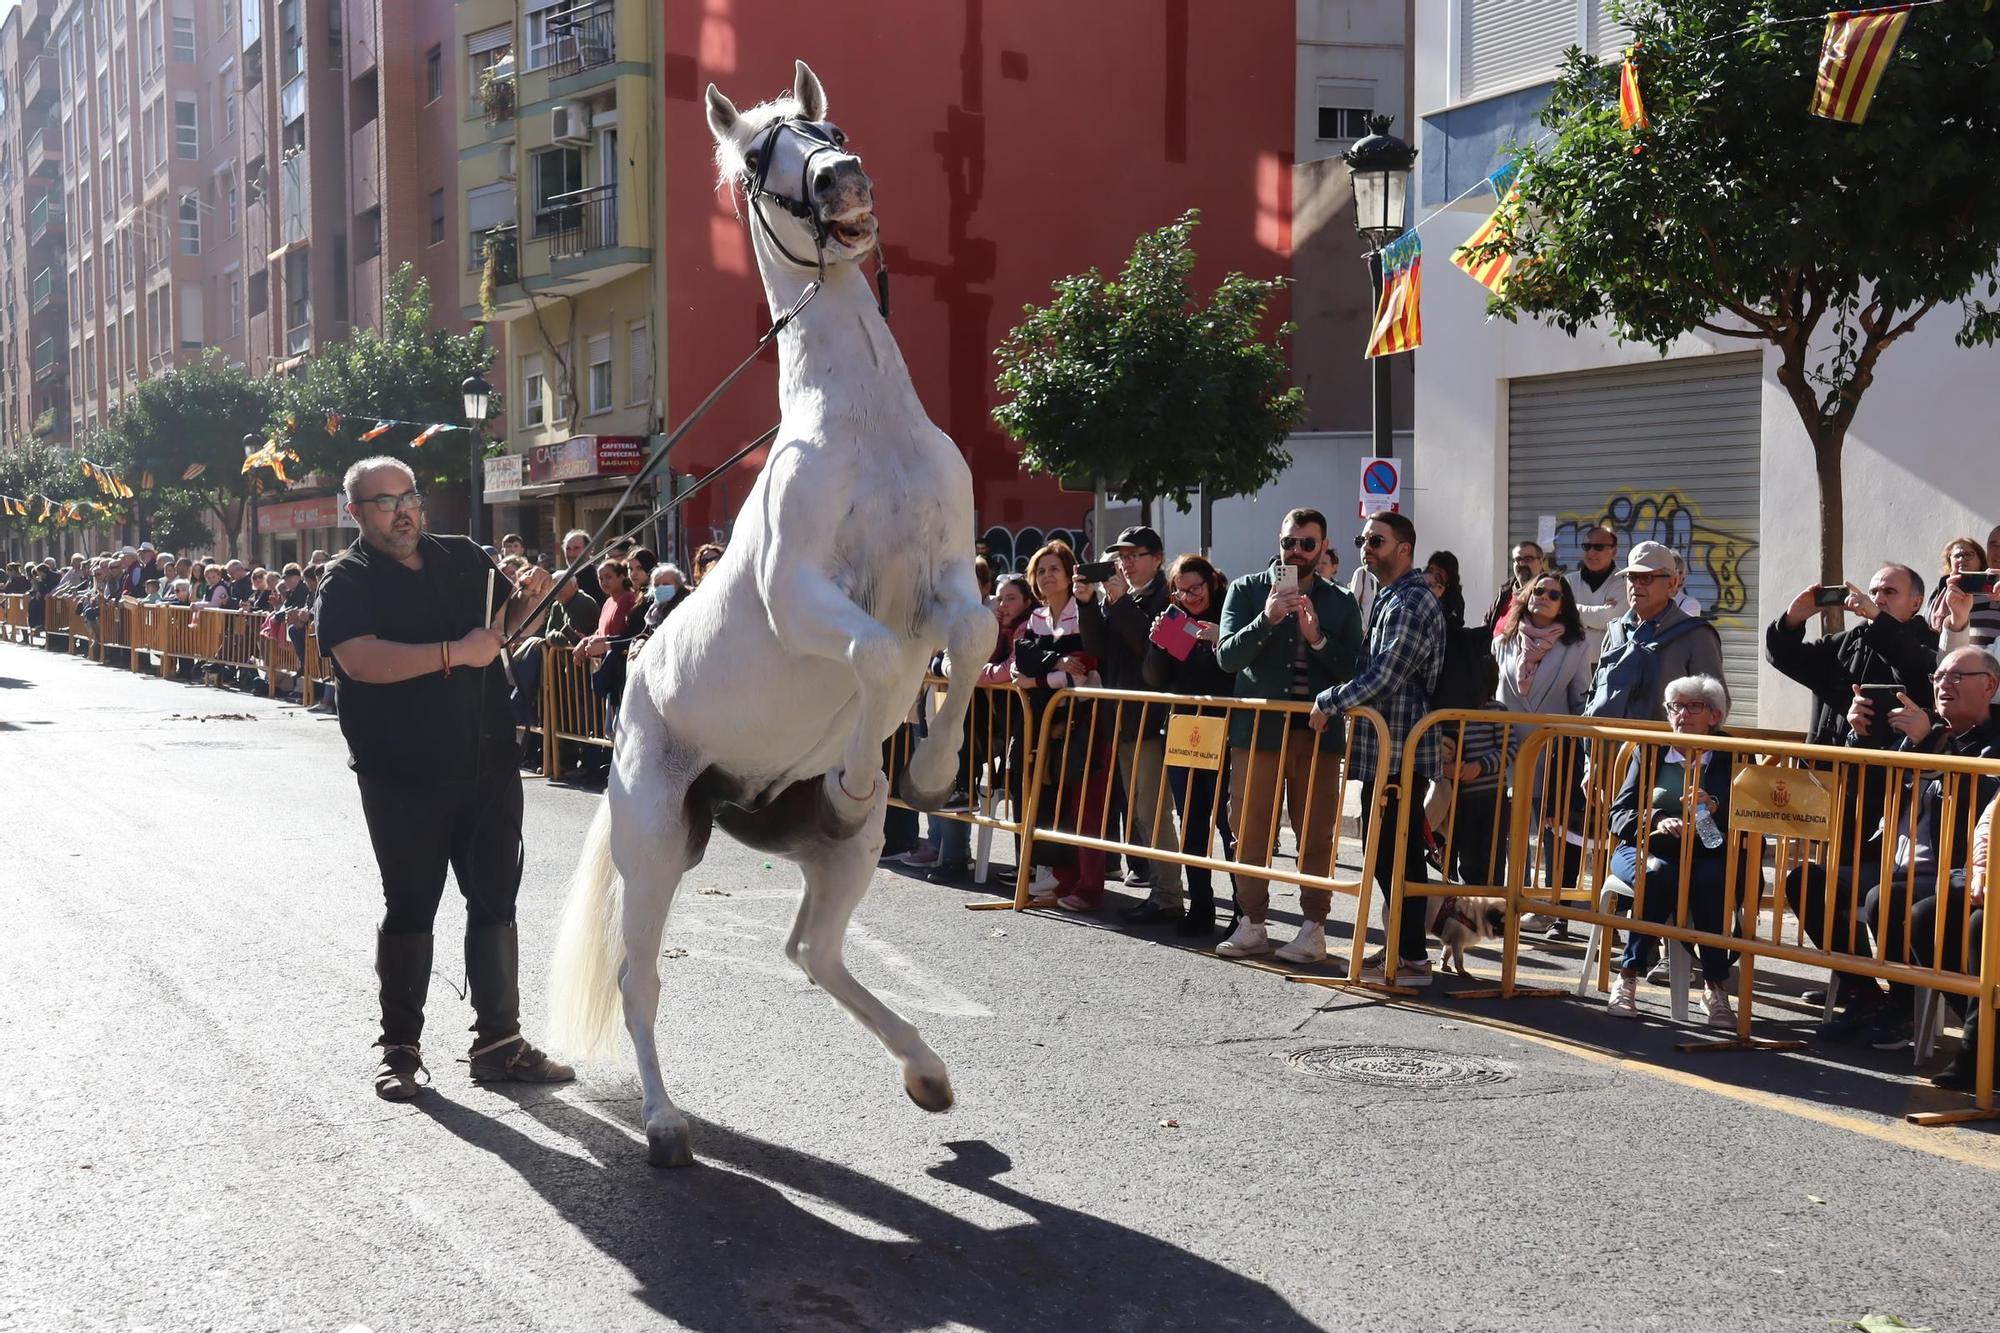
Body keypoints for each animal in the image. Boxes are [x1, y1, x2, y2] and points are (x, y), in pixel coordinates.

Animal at [548, 59, 992, 1160]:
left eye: (825, 123)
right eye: (759, 154)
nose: (842, 180)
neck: (864, 425)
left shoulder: (949, 577)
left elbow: (968, 638)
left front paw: (927, 771)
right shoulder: (801, 595)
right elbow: (877, 657)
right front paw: (862, 770)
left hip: (840, 859)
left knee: (808, 950)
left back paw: (927, 1071)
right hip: (656, 839)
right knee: (640, 975)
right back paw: (664, 1122)